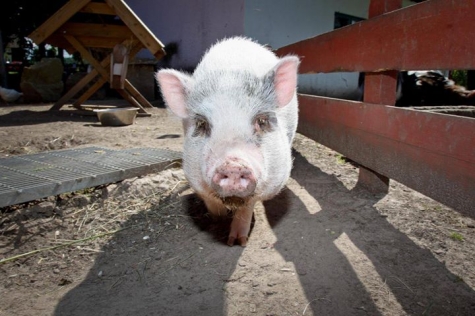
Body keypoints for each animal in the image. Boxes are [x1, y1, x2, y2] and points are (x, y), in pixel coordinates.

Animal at [157, 35, 302, 246]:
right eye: (202, 123)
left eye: (262, 121)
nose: (233, 165)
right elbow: (211, 203)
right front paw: (218, 222)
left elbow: (246, 208)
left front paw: (237, 242)